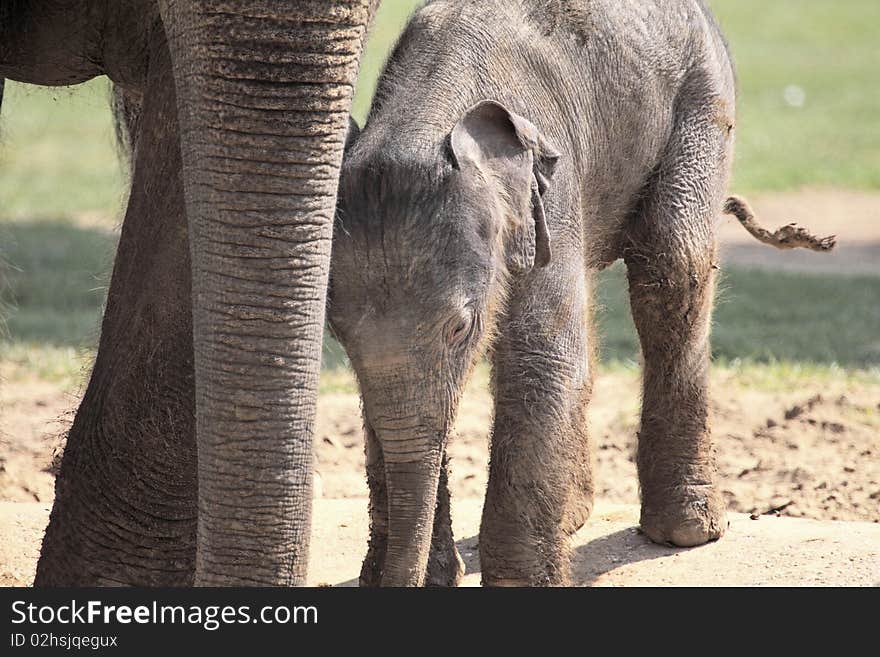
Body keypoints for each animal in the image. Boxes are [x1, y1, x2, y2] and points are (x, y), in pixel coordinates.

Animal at [330, 0, 736, 584]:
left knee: (673, 269)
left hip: (701, 101)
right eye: (336, 332)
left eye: (462, 328)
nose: (399, 580)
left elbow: (542, 356)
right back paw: (570, 518)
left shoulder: (550, 194)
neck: (425, 115)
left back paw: (685, 531)